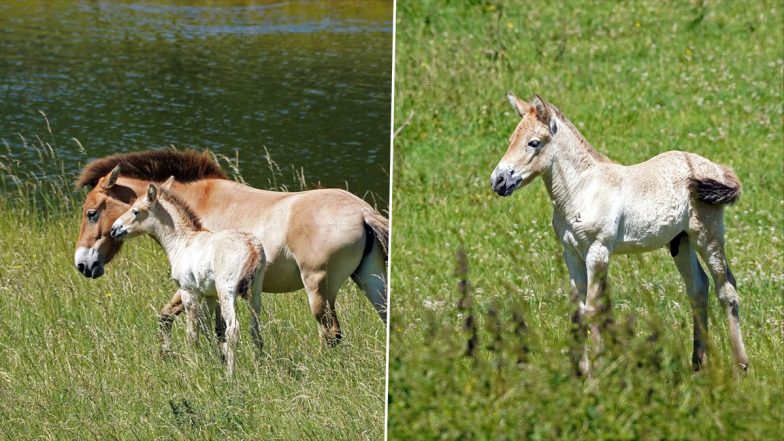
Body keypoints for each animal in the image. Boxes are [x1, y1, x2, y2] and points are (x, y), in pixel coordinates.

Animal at [75, 150, 388, 348]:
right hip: (371, 281)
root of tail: (363, 212)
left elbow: (169, 319)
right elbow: (214, 331)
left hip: (319, 288)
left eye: (91, 213)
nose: (82, 264)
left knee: (330, 333)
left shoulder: (193, 286)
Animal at [110, 175, 264, 374]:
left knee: (233, 329)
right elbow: (206, 326)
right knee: (255, 328)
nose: (114, 229)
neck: (182, 241)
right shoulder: (209, 295)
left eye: (135, 211)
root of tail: (252, 248)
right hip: (255, 291)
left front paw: (194, 364)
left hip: (227, 291)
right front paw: (213, 359)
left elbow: (192, 332)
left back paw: (230, 373)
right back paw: (259, 367)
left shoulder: (188, 291)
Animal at [494, 93, 752, 374]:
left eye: (534, 143)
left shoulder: (597, 252)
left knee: (726, 288)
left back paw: (741, 366)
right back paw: (697, 364)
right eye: (510, 140)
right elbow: (578, 312)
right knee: (698, 288)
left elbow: (594, 309)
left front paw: (597, 372)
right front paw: (580, 372)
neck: (583, 189)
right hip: (680, 242)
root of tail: (716, 168)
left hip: (708, 235)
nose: (498, 181)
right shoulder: (571, 253)